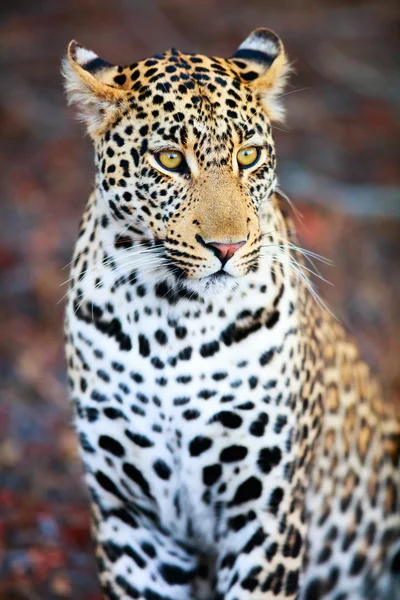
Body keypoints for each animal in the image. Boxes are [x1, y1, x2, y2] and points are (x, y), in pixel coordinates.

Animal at [62, 28, 400, 600]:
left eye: (249, 155)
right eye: (170, 160)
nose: (228, 247)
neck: (170, 319)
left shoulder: (265, 510)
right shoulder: (131, 520)